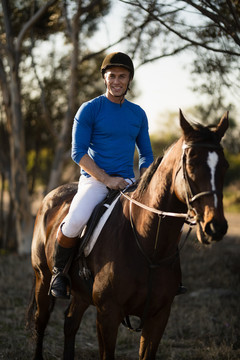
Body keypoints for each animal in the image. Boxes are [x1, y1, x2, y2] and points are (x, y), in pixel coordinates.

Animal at [27, 110, 229, 360]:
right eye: (191, 164)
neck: (149, 246)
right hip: (43, 278)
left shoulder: (158, 317)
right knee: (41, 322)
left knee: (70, 323)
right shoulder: (108, 314)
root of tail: (50, 196)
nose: (215, 227)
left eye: (225, 166)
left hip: (81, 294)